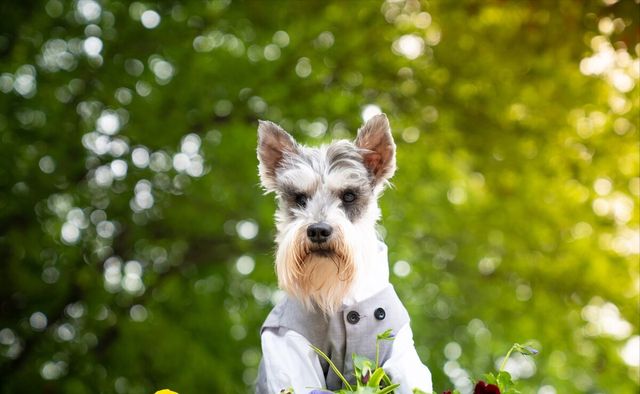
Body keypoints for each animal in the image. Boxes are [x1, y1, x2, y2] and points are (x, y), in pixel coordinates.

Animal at [254, 114, 430, 394]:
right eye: (300, 199)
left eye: (348, 196)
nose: (318, 230)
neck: (339, 295)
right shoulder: (290, 348)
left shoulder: (402, 353)